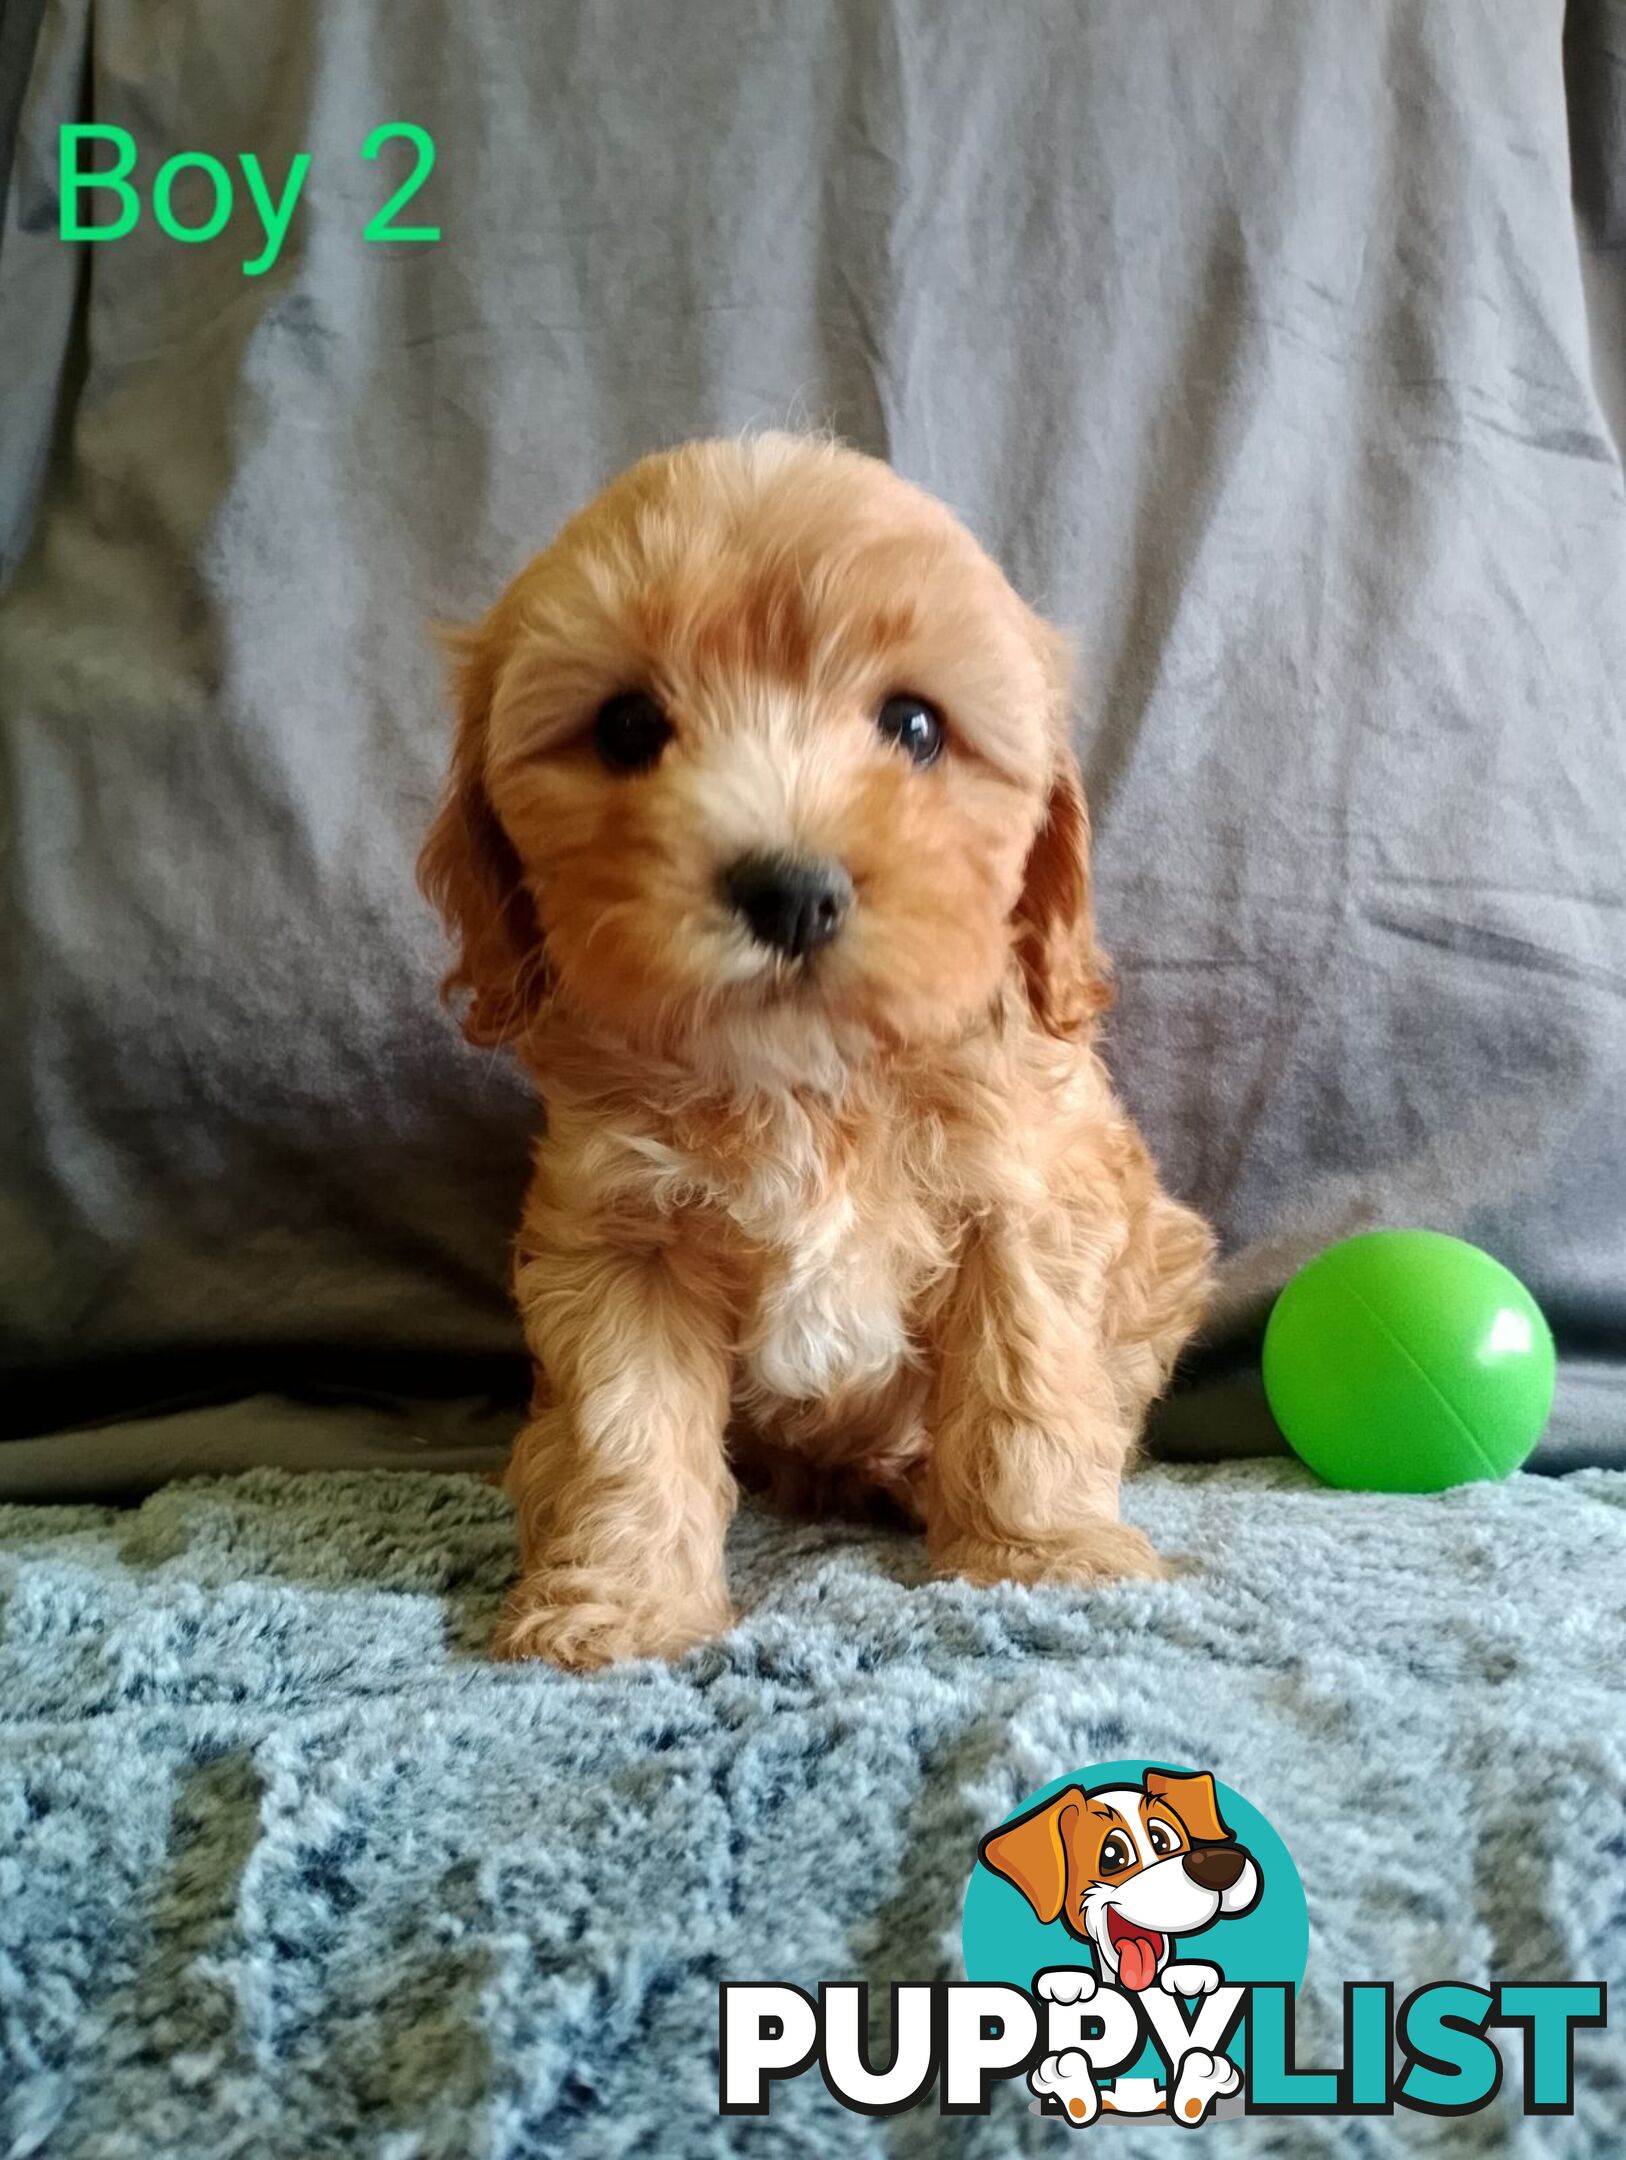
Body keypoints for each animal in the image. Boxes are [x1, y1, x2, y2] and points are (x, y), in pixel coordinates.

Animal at [418, 429, 1209, 1658]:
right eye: (628, 727)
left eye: (916, 726)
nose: (790, 891)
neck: (809, 1083)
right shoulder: (619, 1235)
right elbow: (624, 1426)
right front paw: (624, 1603)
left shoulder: (1027, 1200)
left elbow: (1027, 1381)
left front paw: (1042, 1559)